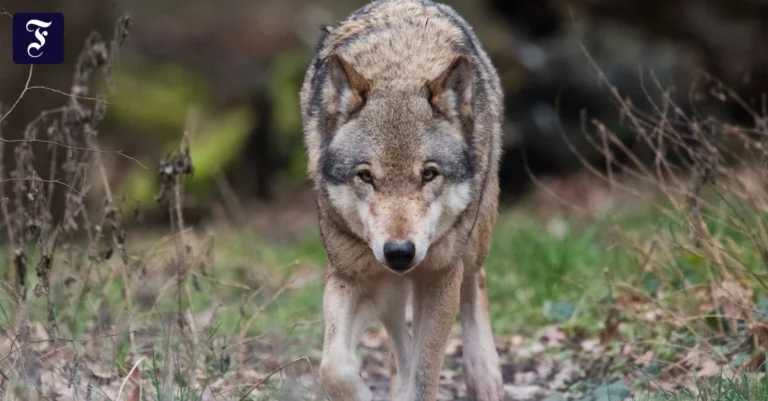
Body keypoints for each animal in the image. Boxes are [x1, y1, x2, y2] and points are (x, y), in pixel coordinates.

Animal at [299, 0, 504, 399]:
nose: (399, 252)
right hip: (389, 289)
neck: (399, 70)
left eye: (428, 174)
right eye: (366, 176)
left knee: (477, 280)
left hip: (472, 243)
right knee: (399, 344)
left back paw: (485, 377)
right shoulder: (352, 276)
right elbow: (333, 367)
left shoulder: (440, 277)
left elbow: (424, 378)